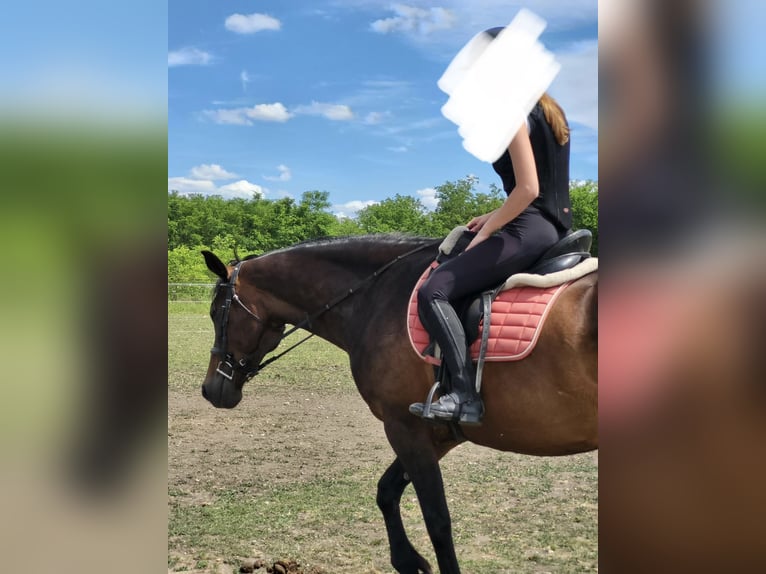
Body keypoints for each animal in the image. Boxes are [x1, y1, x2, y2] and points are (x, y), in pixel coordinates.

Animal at [200, 234, 597, 574]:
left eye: (216, 311)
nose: (210, 390)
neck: (376, 296)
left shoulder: (403, 427)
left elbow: (438, 521)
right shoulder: (435, 432)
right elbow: (386, 491)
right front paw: (408, 561)